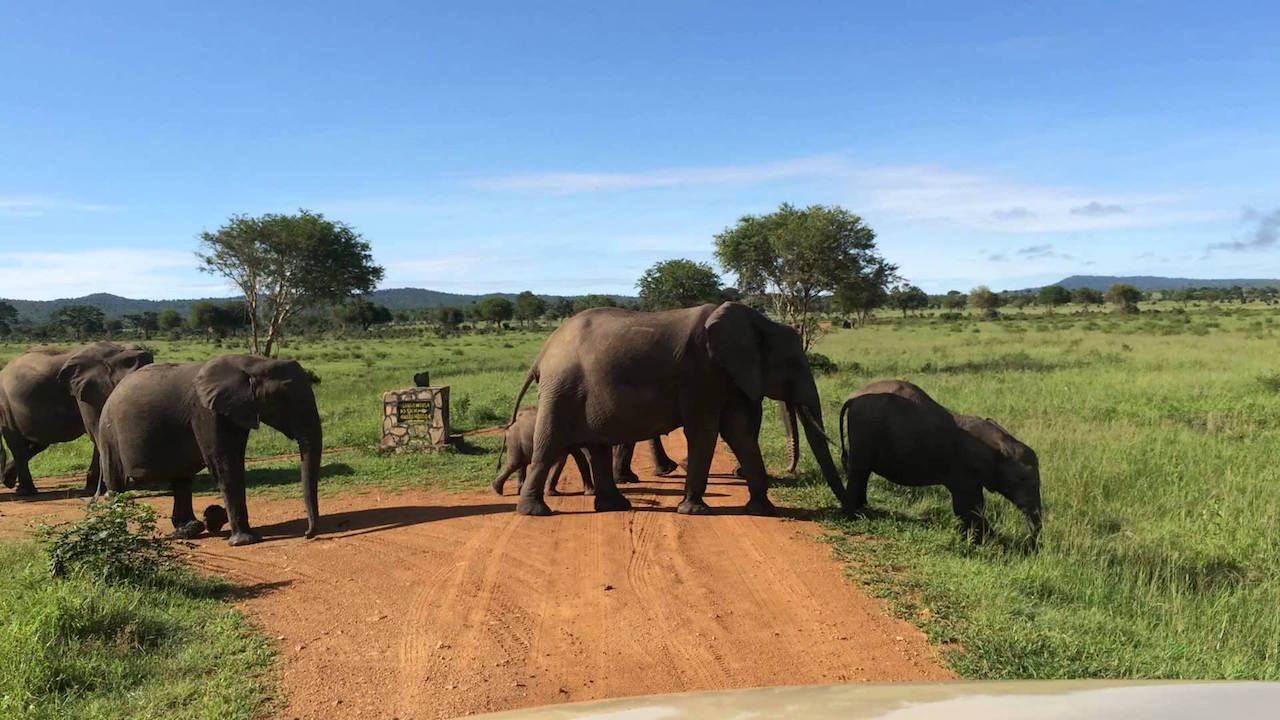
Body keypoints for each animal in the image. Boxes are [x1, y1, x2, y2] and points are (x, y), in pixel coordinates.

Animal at [0, 340, 152, 491]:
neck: (120, 351)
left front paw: (93, 486)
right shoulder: (88, 389)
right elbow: (96, 430)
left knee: (37, 444)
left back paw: (9, 481)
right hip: (6, 406)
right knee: (18, 446)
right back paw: (26, 491)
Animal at [97, 353, 322, 543]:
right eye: (283, 398)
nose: (307, 534)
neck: (252, 363)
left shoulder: (235, 410)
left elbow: (233, 459)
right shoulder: (205, 411)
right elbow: (224, 465)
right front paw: (245, 541)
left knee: (182, 480)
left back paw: (188, 529)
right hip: (109, 434)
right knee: (116, 481)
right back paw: (121, 537)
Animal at [501, 301, 849, 515]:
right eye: (793, 365)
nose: (853, 511)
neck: (758, 321)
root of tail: (543, 352)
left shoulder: (725, 375)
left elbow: (739, 433)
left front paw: (763, 510)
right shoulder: (702, 372)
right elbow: (705, 431)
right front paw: (695, 511)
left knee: (597, 446)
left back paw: (615, 506)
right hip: (561, 388)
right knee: (550, 444)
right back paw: (536, 512)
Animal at [839, 379, 1039, 540]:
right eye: (1022, 480)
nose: (1032, 546)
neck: (999, 443)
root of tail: (852, 398)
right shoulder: (964, 468)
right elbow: (968, 505)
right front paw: (988, 541)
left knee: (862, 473)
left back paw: (863, 509)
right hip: (865, 430)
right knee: (859, 471)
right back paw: (853, 515)